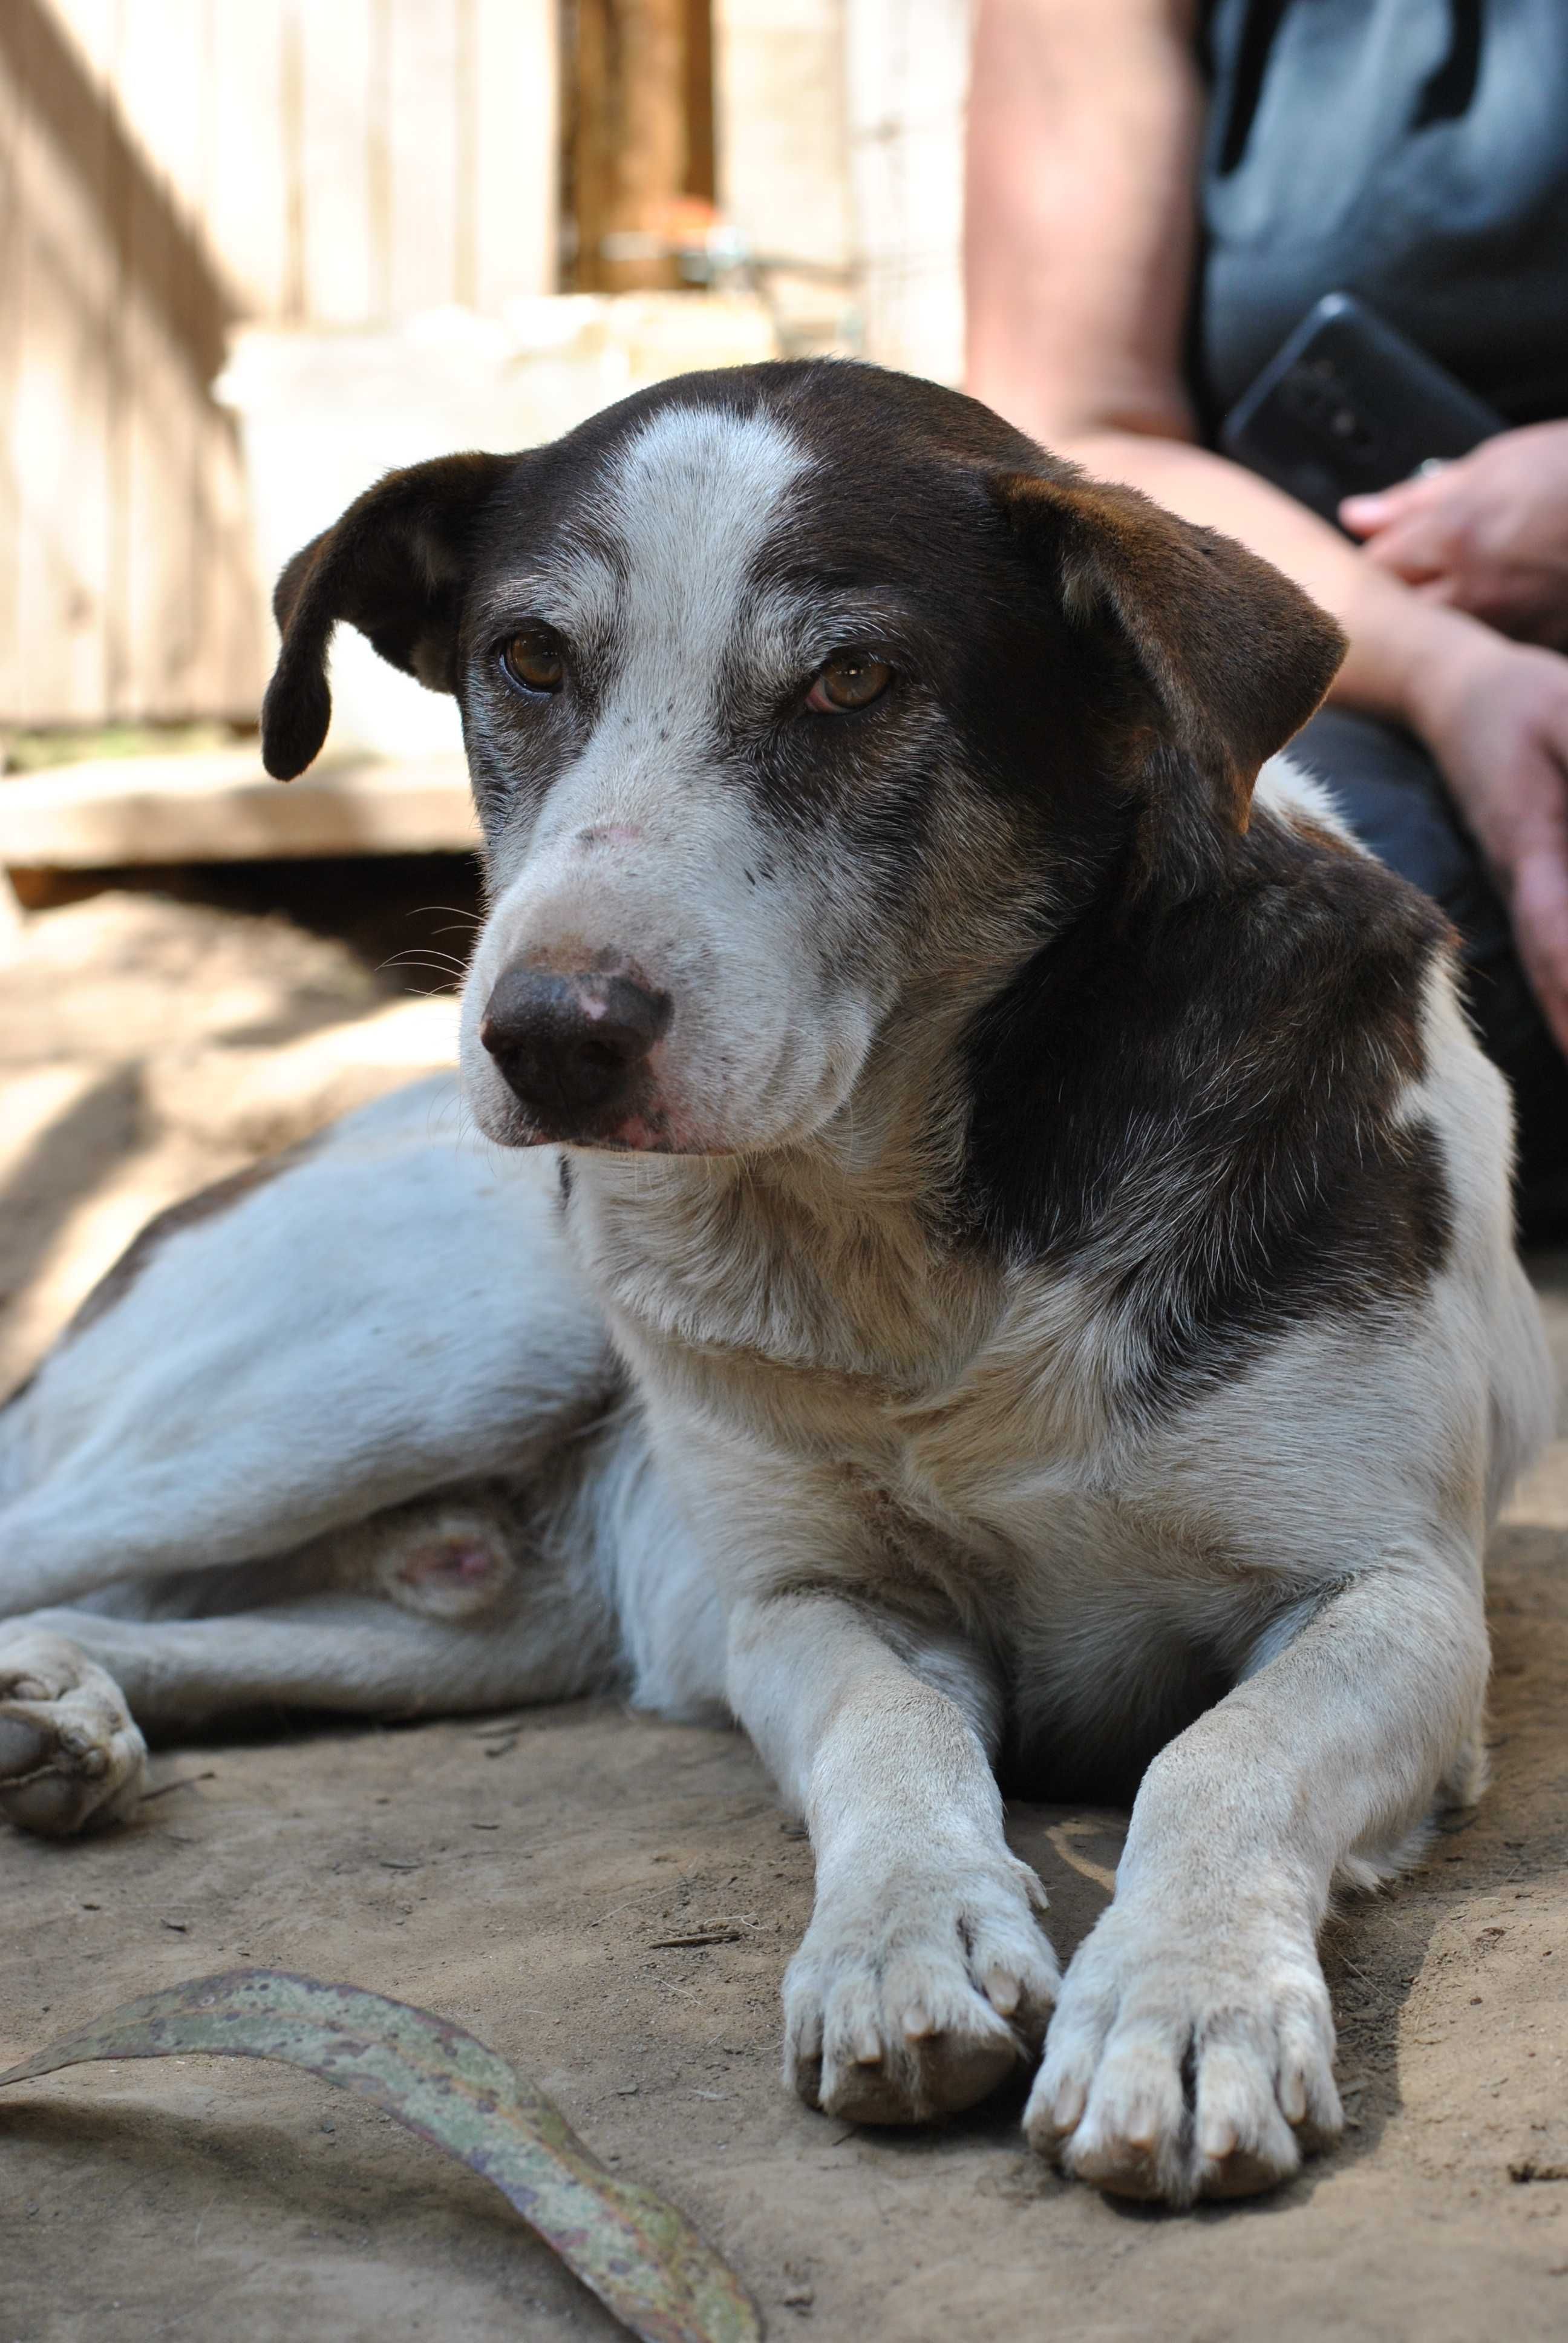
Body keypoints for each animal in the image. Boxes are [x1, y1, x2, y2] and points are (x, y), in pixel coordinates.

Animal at [0, 356, 1547, 2202]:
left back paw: (60, 1714)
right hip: (429, 1354)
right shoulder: (809, 1603)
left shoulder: (1393, 1596)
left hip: (480, 1611)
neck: (924, 1236)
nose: (550, 1037)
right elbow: (893, 1735)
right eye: (528, 660)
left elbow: (1219, 1757)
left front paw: (1183, 2002)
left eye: (853, 679)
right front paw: (906, 1941)